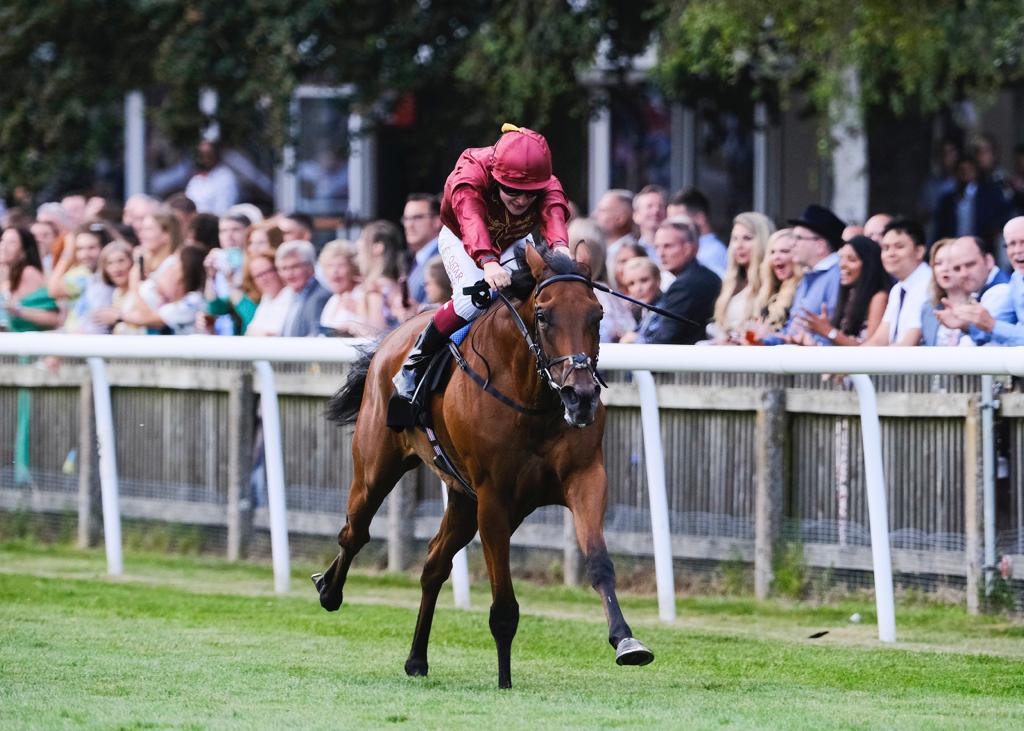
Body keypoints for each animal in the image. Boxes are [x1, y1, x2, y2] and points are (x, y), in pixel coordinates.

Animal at [311, 244, 659, 688]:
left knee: (434, 564)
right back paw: (328, 588)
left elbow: (599, 562)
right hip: (377, 469)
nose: (580, 397)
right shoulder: (494, 497)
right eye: (543, 315)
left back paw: (416, 658)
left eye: (597, 315)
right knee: (354, 533)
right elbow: (504, 603)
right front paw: (505, 679)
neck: (534, 400)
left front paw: (626, 640)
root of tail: (392, 338)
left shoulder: (585, 478)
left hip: (463, 498)